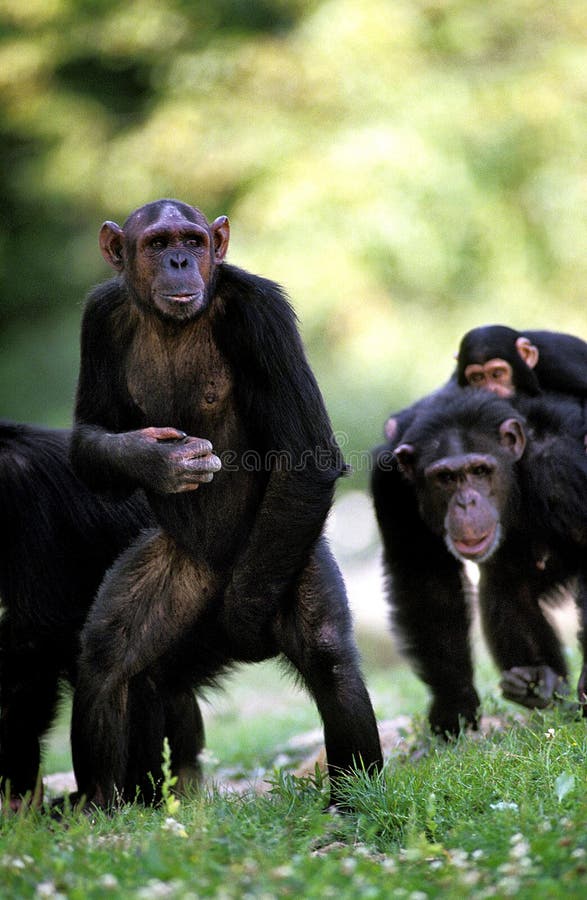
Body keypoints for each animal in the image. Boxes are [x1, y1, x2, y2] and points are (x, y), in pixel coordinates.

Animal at [69, 199, 384, 808]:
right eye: (156, 242)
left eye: (192, 239)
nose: (179, 260)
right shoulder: (97, 318)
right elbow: (88, 433)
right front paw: (154, 459)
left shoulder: (265, 315)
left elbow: (306, 451)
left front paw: (243, 625)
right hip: (179, 570)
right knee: (106, 661)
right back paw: (104, 808)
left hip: (285, 555)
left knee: (329, 658)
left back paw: (353, 803)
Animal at [372, 388, 587, 740]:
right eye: (445, 478)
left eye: (480, 471)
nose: (466, 502)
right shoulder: (390, 484)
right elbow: (425, 579)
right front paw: (453, 705)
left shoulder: (563, 466)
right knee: (505, 590)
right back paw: (540, 687)